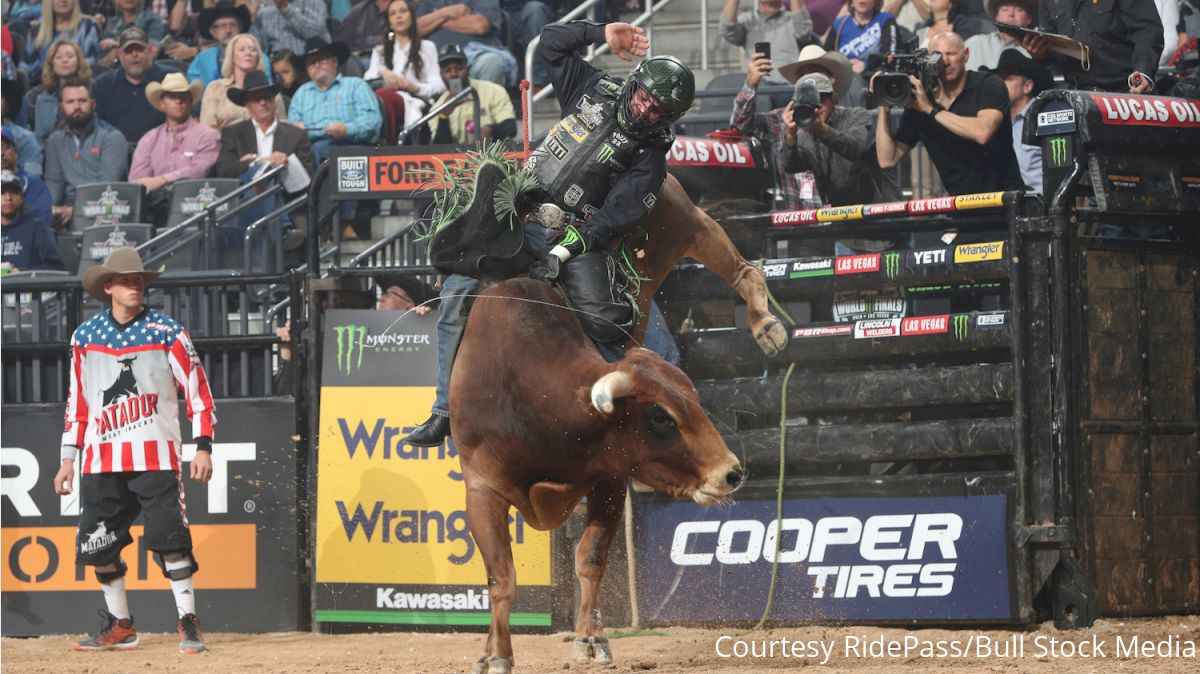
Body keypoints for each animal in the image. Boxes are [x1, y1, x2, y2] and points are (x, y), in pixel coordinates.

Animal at [453, 275, 744, 666]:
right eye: (660, 417)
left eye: (694, 400)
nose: (731, 473)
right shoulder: (483, 489)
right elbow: (501, 576)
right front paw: (499, 655)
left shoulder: (610, 481)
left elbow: (590, 559)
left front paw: (591, 639)